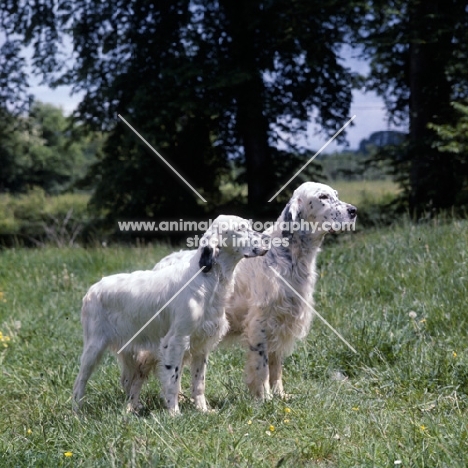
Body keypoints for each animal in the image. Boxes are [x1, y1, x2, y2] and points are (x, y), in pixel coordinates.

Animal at [74, 215, 270, 414]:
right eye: (240, 228)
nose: (267, 239)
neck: (205, 280)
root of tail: (92, 289)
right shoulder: (176, 341)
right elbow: (173, 381)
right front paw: (174, 412)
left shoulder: (202, 344)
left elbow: (199, 383)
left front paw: (203, 410)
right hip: (94, 347)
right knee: (80, 381)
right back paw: (77, 411)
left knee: (130, 381)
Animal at [225, 182, 356, 398]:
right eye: (323, 196)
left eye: (336, 194)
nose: (354, 211)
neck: (291, 256)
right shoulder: (260, 324)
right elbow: (262, 367)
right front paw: (264, 396)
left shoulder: (282, 322)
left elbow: (276, 365)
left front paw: (280, 394)